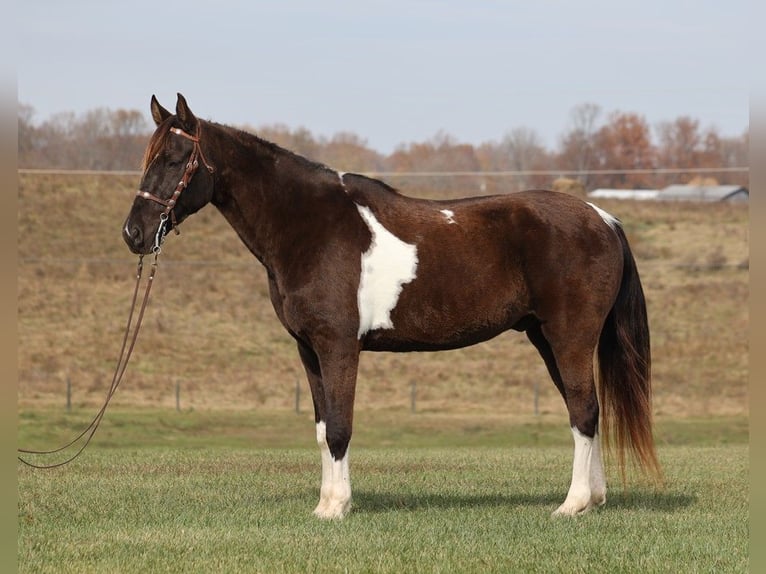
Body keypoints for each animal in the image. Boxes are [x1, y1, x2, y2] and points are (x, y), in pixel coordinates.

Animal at [123, 94, 664, 520]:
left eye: (174, 159)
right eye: (149, 157)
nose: (134, 234)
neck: (311, 226)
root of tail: (603, 218)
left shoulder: (339, 347)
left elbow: (340, 428)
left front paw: (338, 508)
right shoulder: (308, 351)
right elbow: (322, 429)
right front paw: (325, 503)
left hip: (568, 337)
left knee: (584, 411)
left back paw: (572, 505)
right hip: (546, 338)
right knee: (584, 410)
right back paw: (593, 500)